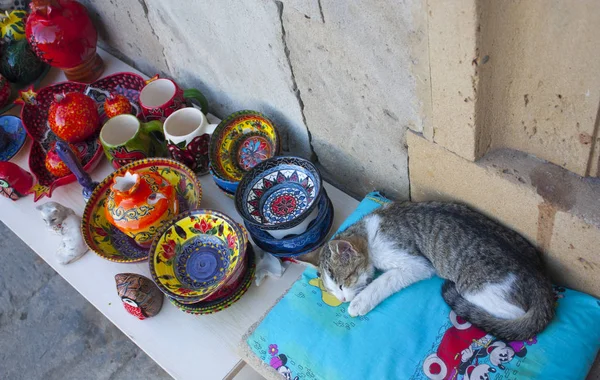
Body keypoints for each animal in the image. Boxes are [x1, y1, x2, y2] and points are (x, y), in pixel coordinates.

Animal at [318, 202, 552, 342]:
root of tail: (540, 279)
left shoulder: (417, 263)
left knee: (513, 314)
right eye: (332, 291)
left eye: (342, 283)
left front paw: (359, 303)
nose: (341, 299)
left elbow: (383, 281)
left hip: (474, 288)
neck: (369, 231)